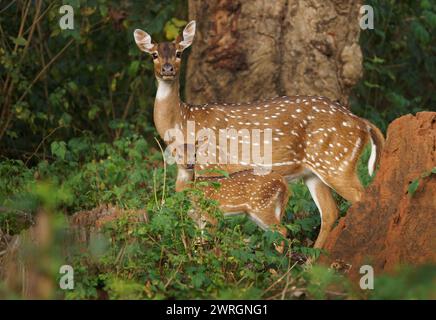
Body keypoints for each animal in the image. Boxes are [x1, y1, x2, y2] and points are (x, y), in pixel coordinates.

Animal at [134, 20, 384, 250]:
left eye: (178, 53)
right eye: (154, 54)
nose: (167, 69)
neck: (185, 120)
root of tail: (362, 123)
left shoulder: (211, 166)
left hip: (336, 161)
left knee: (362, 200)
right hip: (314, 171)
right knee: (330, 212)